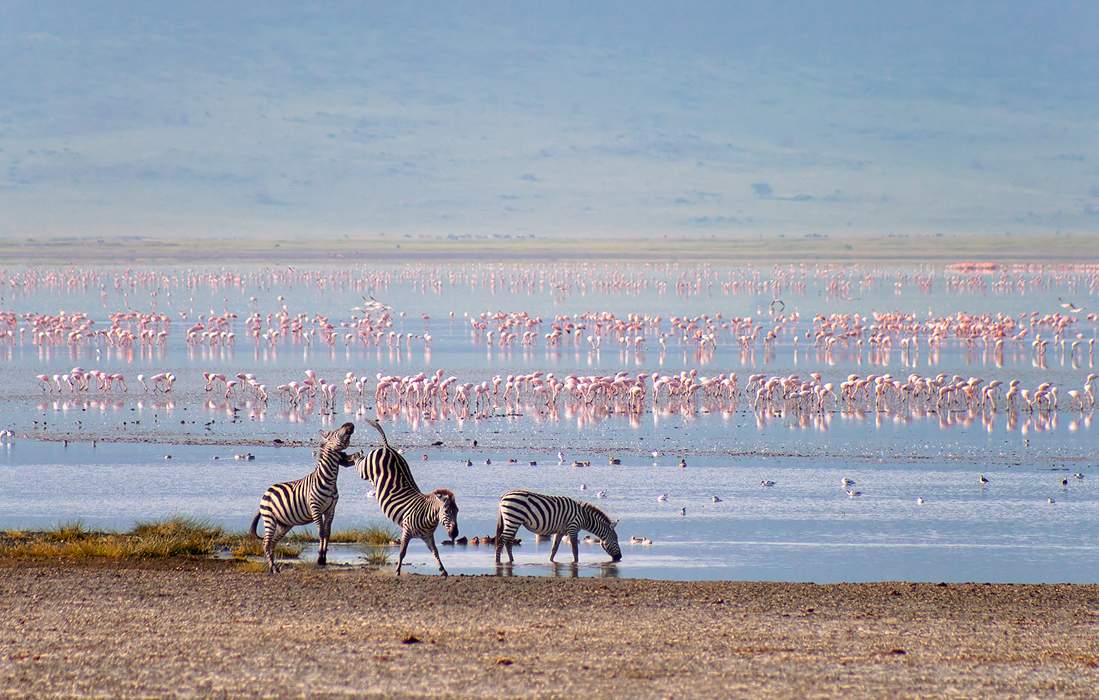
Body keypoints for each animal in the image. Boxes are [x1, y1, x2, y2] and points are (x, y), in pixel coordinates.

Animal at [250, 422, 360, 574]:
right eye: (334, 432)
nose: (349, 424)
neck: (329, 479)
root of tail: (267, 491)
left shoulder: (330, 509)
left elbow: (327, 533)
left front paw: (324, 559)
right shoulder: (316, 508)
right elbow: (321, 533)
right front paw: (320, 559)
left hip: (284, 524)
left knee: (273, 542)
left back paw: (275, 567)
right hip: (269, 518)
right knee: (266, 543)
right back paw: (272, 568)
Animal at [358, 419, 459, 577]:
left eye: (457, 511)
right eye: (447, 511)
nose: (455, 533)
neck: (428, 516)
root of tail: (388, 448)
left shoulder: (428, 537)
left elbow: (435, 552)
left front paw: (443, 570)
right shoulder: (406, 531)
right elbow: (402, 552)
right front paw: (397, 571)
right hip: (364, 471)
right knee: (358, 461)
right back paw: (354, 454)